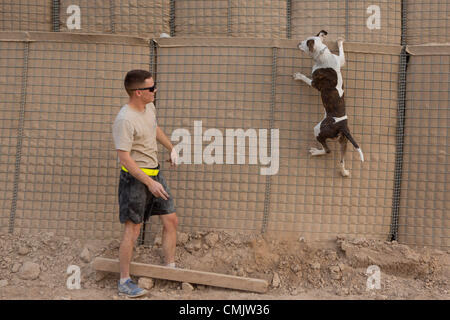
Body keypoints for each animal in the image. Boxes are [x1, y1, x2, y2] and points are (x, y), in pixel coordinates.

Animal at [294, 30, 364, 178]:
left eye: (305, 42)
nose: (298, 43)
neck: (323, 55)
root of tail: (342, 126)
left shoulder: (314, 83)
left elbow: (306, 79)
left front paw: (298, 76)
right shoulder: (340, 61)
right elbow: (342, 54)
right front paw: (340, 41)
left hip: (319, 129)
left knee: (328, 150)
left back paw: (316, 151)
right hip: (344, 141)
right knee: (341, 161)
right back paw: (344, 172)